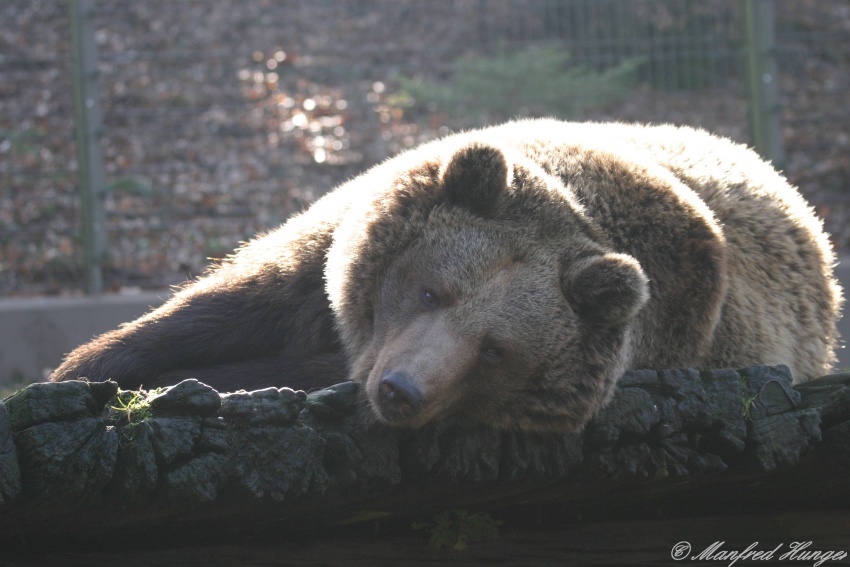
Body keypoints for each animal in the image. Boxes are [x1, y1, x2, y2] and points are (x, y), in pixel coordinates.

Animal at [51, 118, 840, 430]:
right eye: (430, 289)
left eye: (497, 349)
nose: (400, 390)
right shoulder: (322, 259)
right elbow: (221, 306)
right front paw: (90, 367)